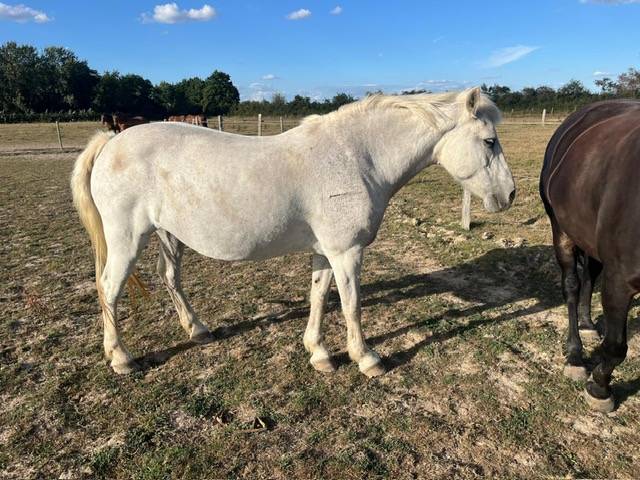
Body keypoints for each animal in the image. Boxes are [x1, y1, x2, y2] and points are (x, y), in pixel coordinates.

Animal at [71, 87, 515, 376]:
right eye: (489, 141)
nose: (509, 194)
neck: (356, 158)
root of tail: (111, 142)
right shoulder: (347, 252)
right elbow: (352, 305)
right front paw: (366, 358)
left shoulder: (327, 251)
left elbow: (319, 296)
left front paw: (319, 353)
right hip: (128, 239)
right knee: (108, 288)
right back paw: (121, 357)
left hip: (167, 235)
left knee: (169, 278)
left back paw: (197, 330)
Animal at [540, 99, 640, 413]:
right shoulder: (620, 279)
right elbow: (616, 346)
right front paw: (599, 388)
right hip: (562, 230)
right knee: (572, 285)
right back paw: (574, 355)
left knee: (589, 277)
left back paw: (586, 323)